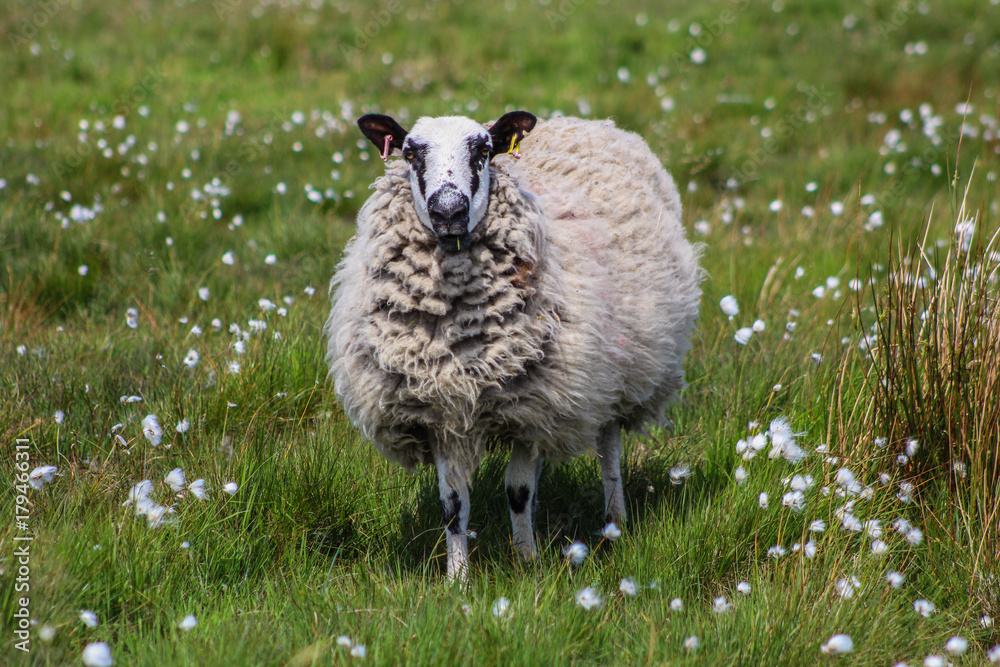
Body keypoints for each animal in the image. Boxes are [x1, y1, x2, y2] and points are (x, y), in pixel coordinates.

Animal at [328, 111, 704, 580]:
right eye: (410, 152)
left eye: (484, 150)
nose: (448, 212)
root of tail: (580, 120)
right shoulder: (440, 413)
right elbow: (453, 506)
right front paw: (457, 580)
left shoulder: (532, 406)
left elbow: (518, 491)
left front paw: (527, 561)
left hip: (616, 370)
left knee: (609, 448)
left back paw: (614, 523)